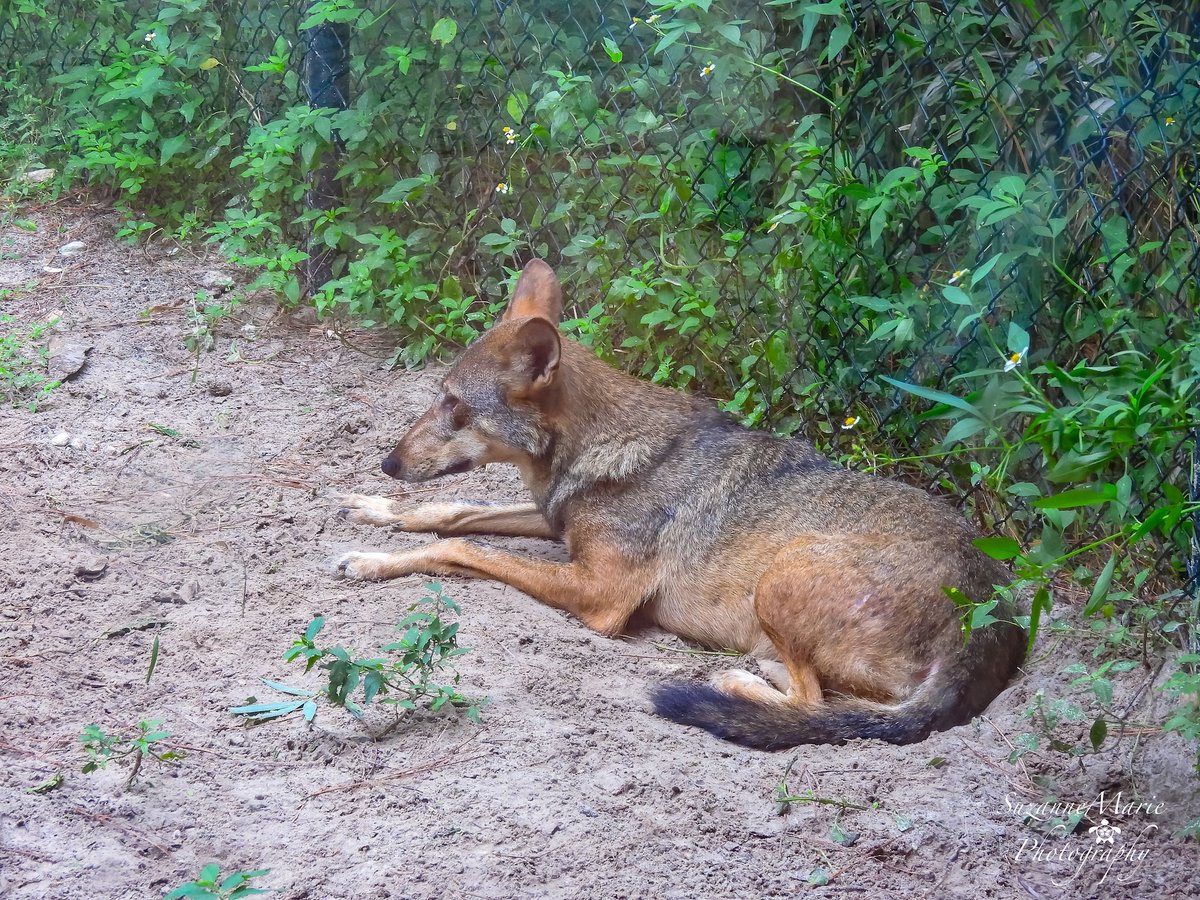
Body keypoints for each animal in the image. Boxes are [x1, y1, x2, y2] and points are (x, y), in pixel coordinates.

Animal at [333, 259, 1026, 748]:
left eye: (454, 406)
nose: (387, 463)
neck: (596, 448)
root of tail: (993, 617)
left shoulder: (600, 595)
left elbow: (458, 546)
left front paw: (370, 560)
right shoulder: (556, 524)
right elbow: (447, 513)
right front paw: (373, 509)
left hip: (781, 576)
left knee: (815, 705)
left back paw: (736, 681)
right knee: (828, 700)